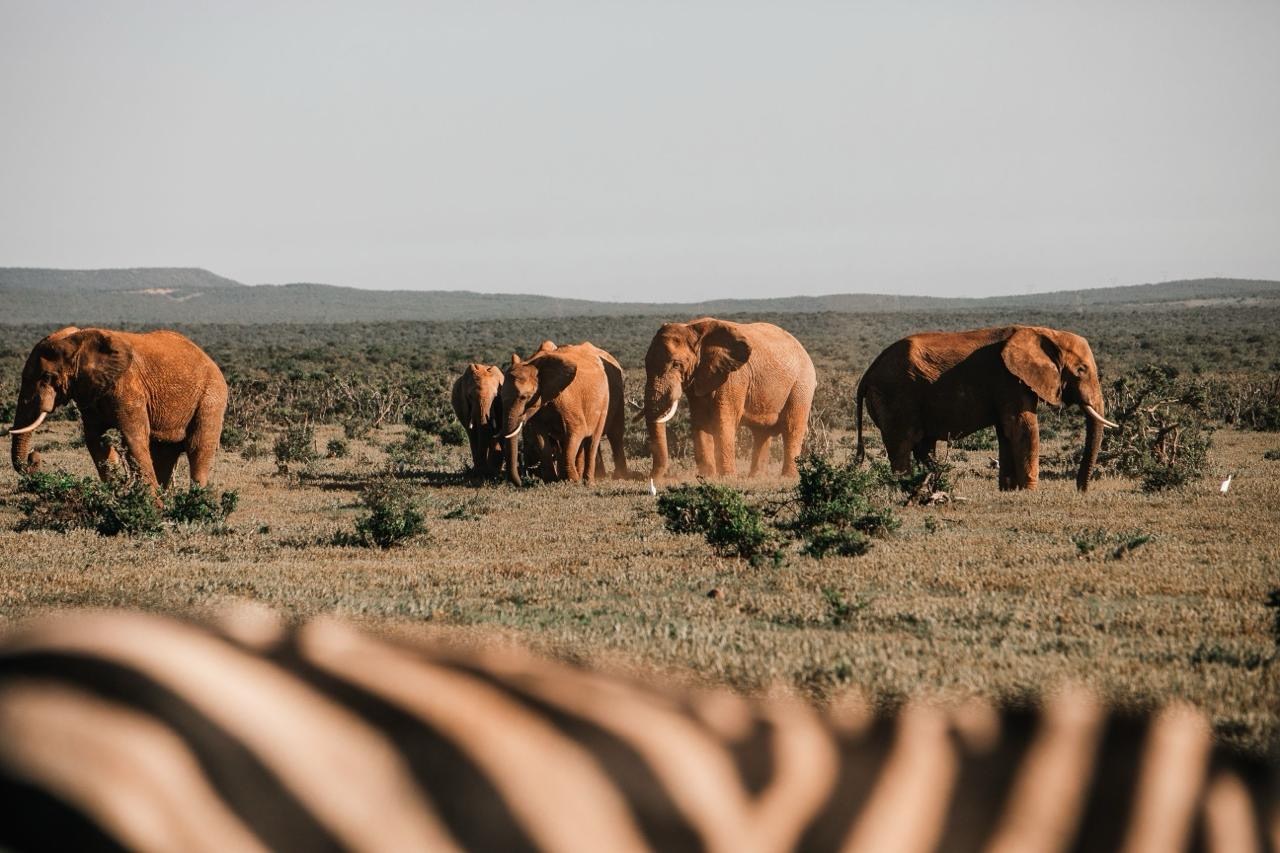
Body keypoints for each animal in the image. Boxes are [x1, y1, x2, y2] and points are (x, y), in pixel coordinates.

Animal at [8, 327, 228, 489]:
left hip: (212, 396)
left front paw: (151, 507)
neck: (80, 339)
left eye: (46, 377)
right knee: (164, 452)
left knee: (198, 447)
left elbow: (133, 438)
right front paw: (117, 492)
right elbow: (96, 440)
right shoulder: (89, 391)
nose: (33, 457)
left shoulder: (128, 385)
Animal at [500, 343, 610, 486]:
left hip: (604, 401)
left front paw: (572, 481)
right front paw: (552, 481)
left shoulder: (567, 400)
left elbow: (576, 431)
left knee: (592, 441)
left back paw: (588, 482)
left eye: (524, 397)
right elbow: (540, 438)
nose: (520, 483)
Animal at [642, 318, 816, 480]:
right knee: (761, 433)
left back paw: (788, 477)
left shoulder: (732, 377)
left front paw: (727, 478)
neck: (693, 329)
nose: (652, 479)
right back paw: (755, 478)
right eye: (645, 364)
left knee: (792, 428)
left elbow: (723, 421)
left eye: (676, 365)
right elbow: (699, 422)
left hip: (801, 384)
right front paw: (706, 477)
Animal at [854, 325, 1119, 491]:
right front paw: (1030, 492)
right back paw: (905, 488)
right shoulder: (1010, 379)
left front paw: (1009, 491)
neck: (1043, 332)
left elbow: (1006, 432)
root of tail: (868, 372)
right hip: (895, 396)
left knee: (923, 446)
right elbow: (1022, 428)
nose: (1080, 490)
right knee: (902, 446)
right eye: (1081, 370)